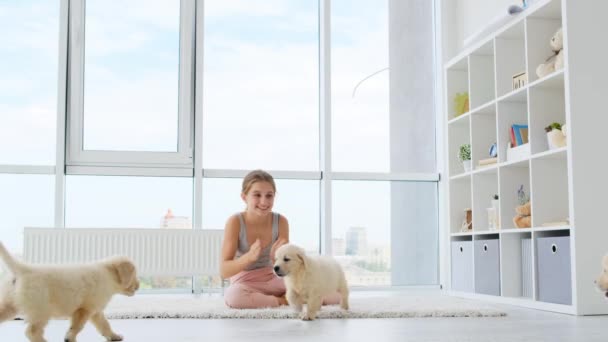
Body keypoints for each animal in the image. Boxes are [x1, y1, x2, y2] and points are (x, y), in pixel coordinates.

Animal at [0, 242, 139, 340]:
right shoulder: (84, 309)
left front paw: (114, 336)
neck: (108, 275)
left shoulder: (95, 310)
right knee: (32, 332)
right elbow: (77, 327)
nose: (138, 286)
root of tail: (24, 269)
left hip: (10, 307)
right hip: (41, 310)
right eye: (135, 274)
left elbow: (104, 325)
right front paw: (69, 338)